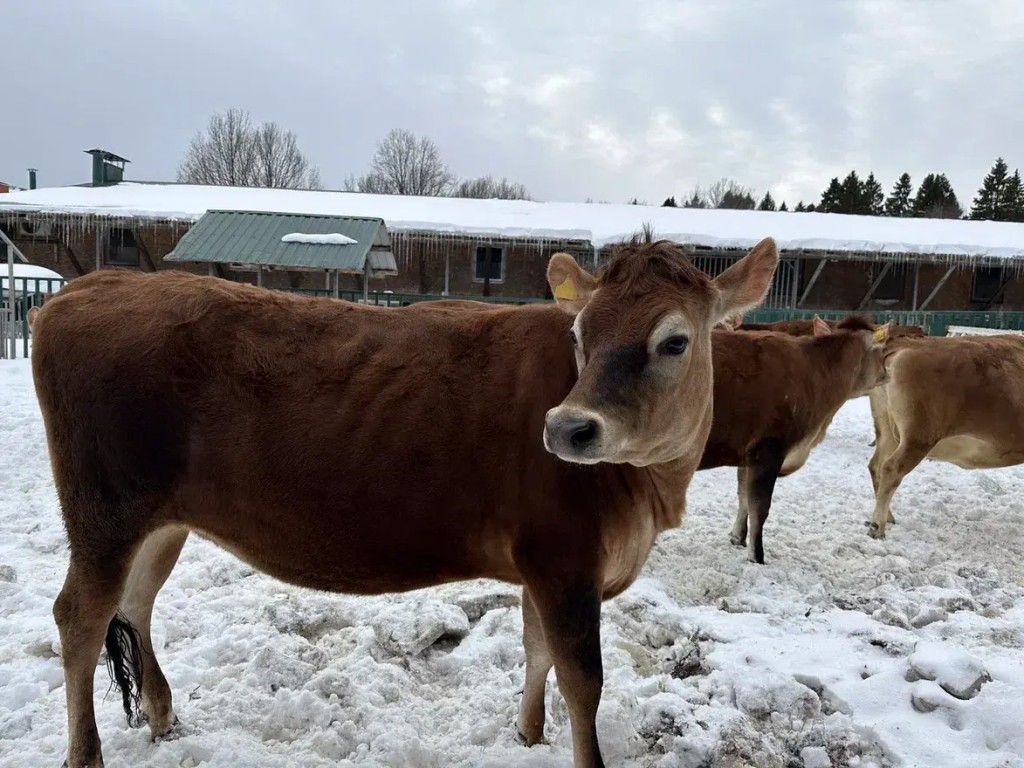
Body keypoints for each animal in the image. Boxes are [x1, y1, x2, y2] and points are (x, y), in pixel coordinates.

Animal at [36, 237, 778, 765]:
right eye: (579, 336)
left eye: (675, 340)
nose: (567, 427)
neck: (648, 492)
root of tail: (92, 286)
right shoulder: (564, 557)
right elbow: (582, 681)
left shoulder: (544, 565)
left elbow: (537, 652)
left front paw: (527, 734)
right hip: (104, 512)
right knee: (79, 616)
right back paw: (87, 754)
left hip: (160, 520)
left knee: (134, 603)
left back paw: (163, 715)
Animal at [700, 313, 892, 565]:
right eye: (882, 349)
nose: (888, 373)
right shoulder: (768, 448)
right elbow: (759, 507)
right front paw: (757, 556)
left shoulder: (747, 454)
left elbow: (743, 498)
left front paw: (737, 537)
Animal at [868, 333, 1024, 536]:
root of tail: (905, 345)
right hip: (918, 437)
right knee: (891, 469)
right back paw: (877, 526)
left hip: (887, 429)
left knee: (876, 465)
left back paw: (888, 516)